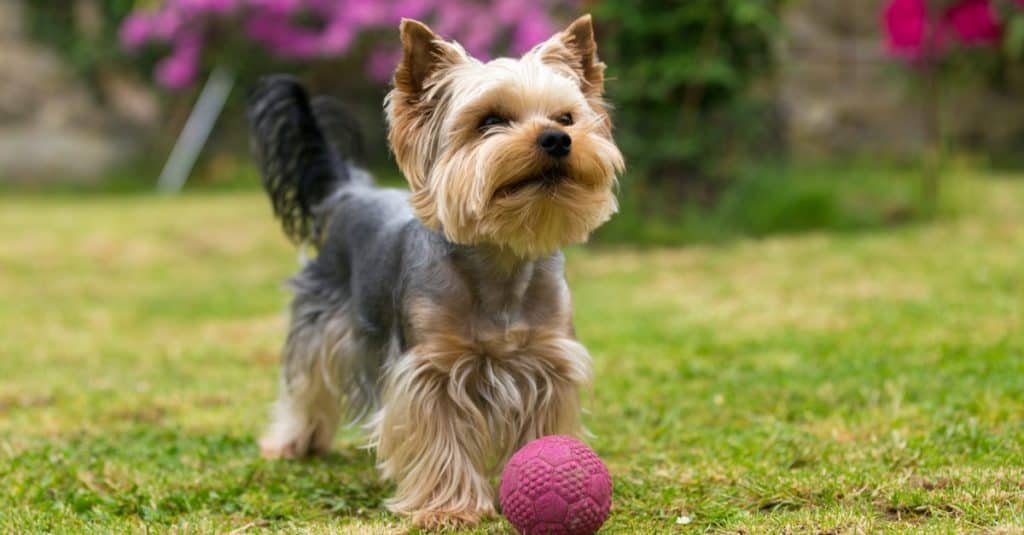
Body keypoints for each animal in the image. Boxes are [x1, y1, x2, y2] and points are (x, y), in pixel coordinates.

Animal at [247, 13, 622, 524]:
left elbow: (539, 425)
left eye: (567, 118)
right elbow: (439, 436)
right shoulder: (430, 369)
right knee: (305, 381)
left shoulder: (547, 361)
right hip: (320, 320)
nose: (557, 139)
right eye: (490, 121)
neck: (502, 257)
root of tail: (350, 189)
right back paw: (292, 442)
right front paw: (449, 507)